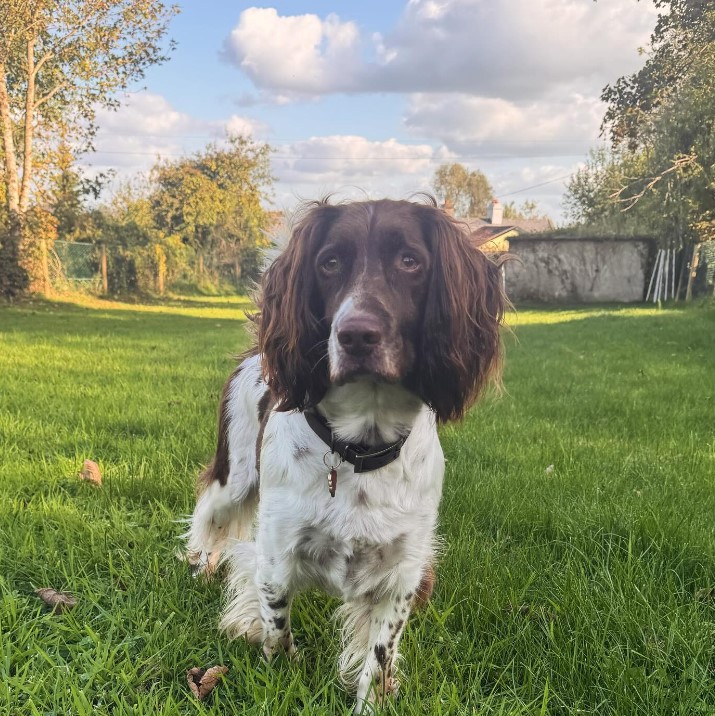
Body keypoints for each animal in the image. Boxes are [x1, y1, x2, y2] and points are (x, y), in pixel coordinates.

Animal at [186, 199, 510, 712]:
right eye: (329, 262)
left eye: (410, 261)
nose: (357, 334)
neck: (360, 446)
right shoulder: (276, 552)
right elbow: (276, 627)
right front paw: (283, 675)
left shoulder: (402, 571)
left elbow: (379, 655)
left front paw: (373, 696)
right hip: (233, 476)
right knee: (210, 516)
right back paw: (201, 566)